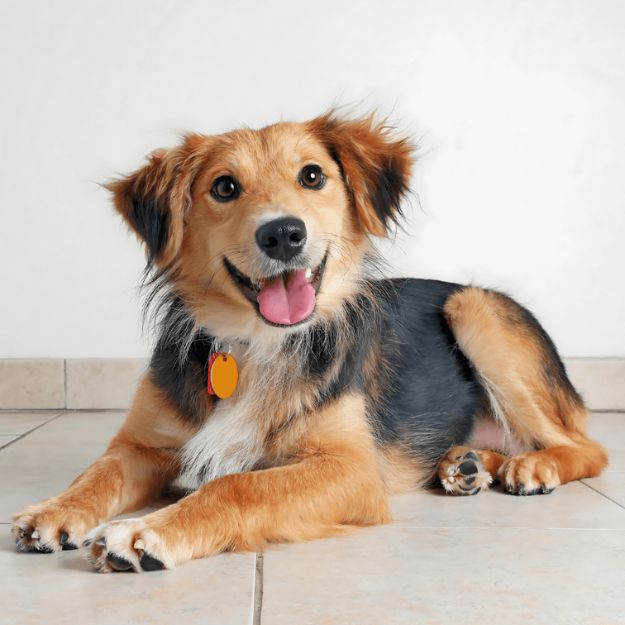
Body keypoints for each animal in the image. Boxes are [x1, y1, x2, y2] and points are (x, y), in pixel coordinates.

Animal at [9, 111, 608, 572]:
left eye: (312, 175)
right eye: (224, 187)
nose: (282, 233)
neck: (255, 344)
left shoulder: (351, 470)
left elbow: (236, 485)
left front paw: (140, 533)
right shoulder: (142, 446)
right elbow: (98, 472)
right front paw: (52, 510)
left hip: (475, 308)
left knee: (586, 447)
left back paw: (530, 468)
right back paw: (467, 465)